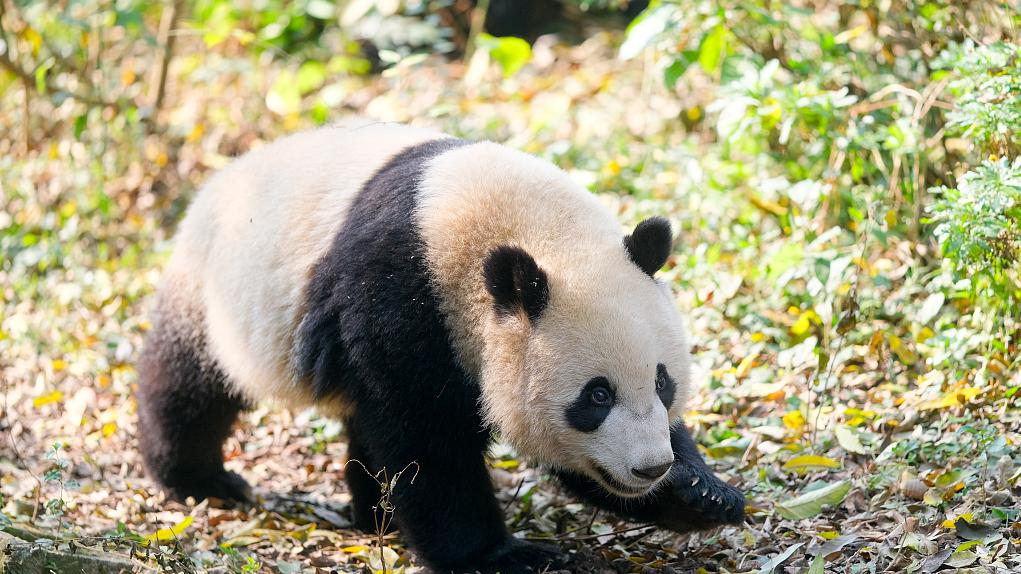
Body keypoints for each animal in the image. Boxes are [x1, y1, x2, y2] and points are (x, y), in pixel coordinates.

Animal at [133, 120, 743, 567]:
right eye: (596, 396)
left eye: (664, 384)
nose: (650, 469)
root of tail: (217, 180)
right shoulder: (403, 297)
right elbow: (425, 441)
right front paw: (502, 557)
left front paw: (702, 494)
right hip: (216, 292)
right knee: (190, 383)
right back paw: (199, 477)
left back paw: (370, 513)